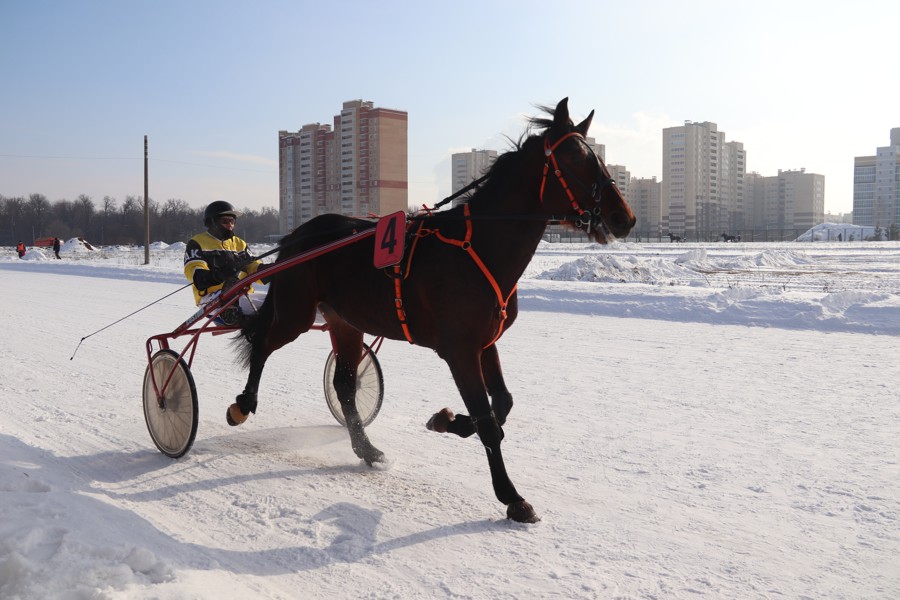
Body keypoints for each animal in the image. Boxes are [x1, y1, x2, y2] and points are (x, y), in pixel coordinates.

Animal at [232, 96, 640, 524]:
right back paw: (243, 404)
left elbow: (502, 404)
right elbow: (488, 422)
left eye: (598, 157)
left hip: (345, 321)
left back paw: (367, 449)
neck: (479, 248)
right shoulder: (459, 350)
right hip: (296, 313)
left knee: (343, 385)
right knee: (262, 344)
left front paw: (447, 421)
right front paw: (511, 495)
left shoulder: (485, 343)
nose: (624, 218)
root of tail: (296, 237)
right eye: (577, 159)